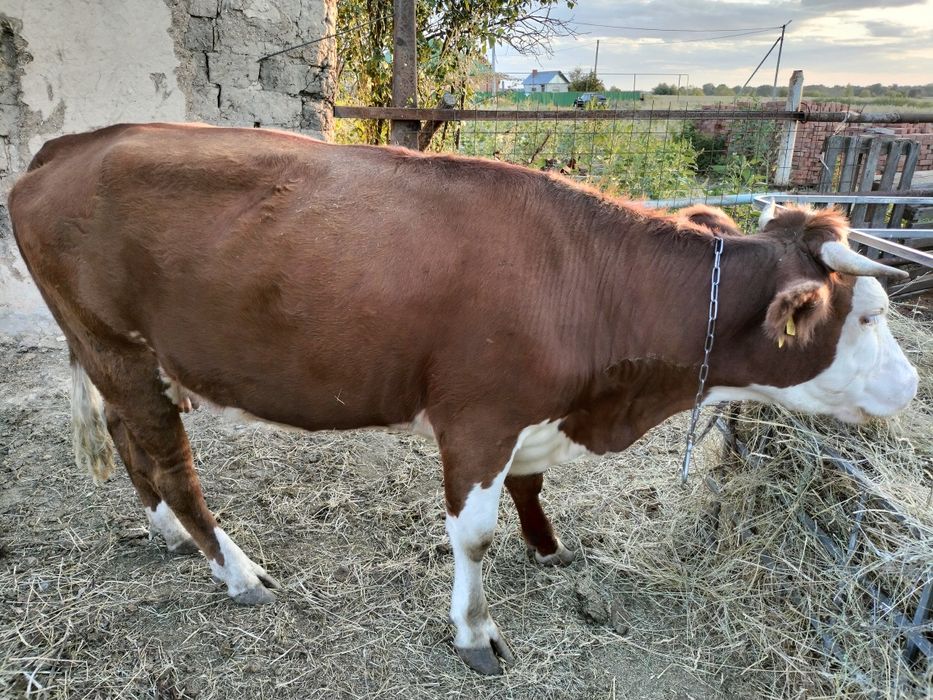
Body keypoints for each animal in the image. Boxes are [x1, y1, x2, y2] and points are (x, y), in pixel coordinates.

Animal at [8, 123, 918, 675]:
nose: (911, 387)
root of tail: (72, 144)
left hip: (114, 356)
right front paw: (475, 632)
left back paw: (164, 531)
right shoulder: (477, 415)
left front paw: (548, 547)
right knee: (170, 460)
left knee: (131, 441)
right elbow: (473, 535)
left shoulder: (532, 412)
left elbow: (531, 484)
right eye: (869, 315)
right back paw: (235, 571)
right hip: (118, 346)